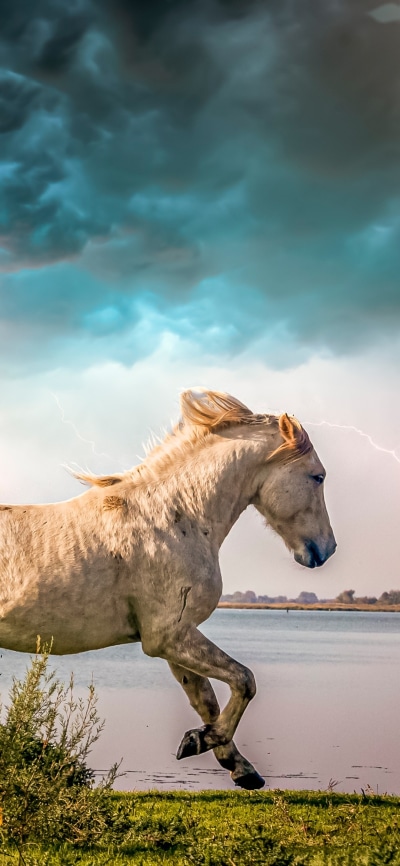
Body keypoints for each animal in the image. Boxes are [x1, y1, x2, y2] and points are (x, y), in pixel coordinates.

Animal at [0, 388, 336, 790]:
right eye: (318, 477)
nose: (326, 549)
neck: (176, 517)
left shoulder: (175, 639)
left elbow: (206, 699)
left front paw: (236, 765)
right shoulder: (168, 636)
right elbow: (244, 681)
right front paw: (203, 741)